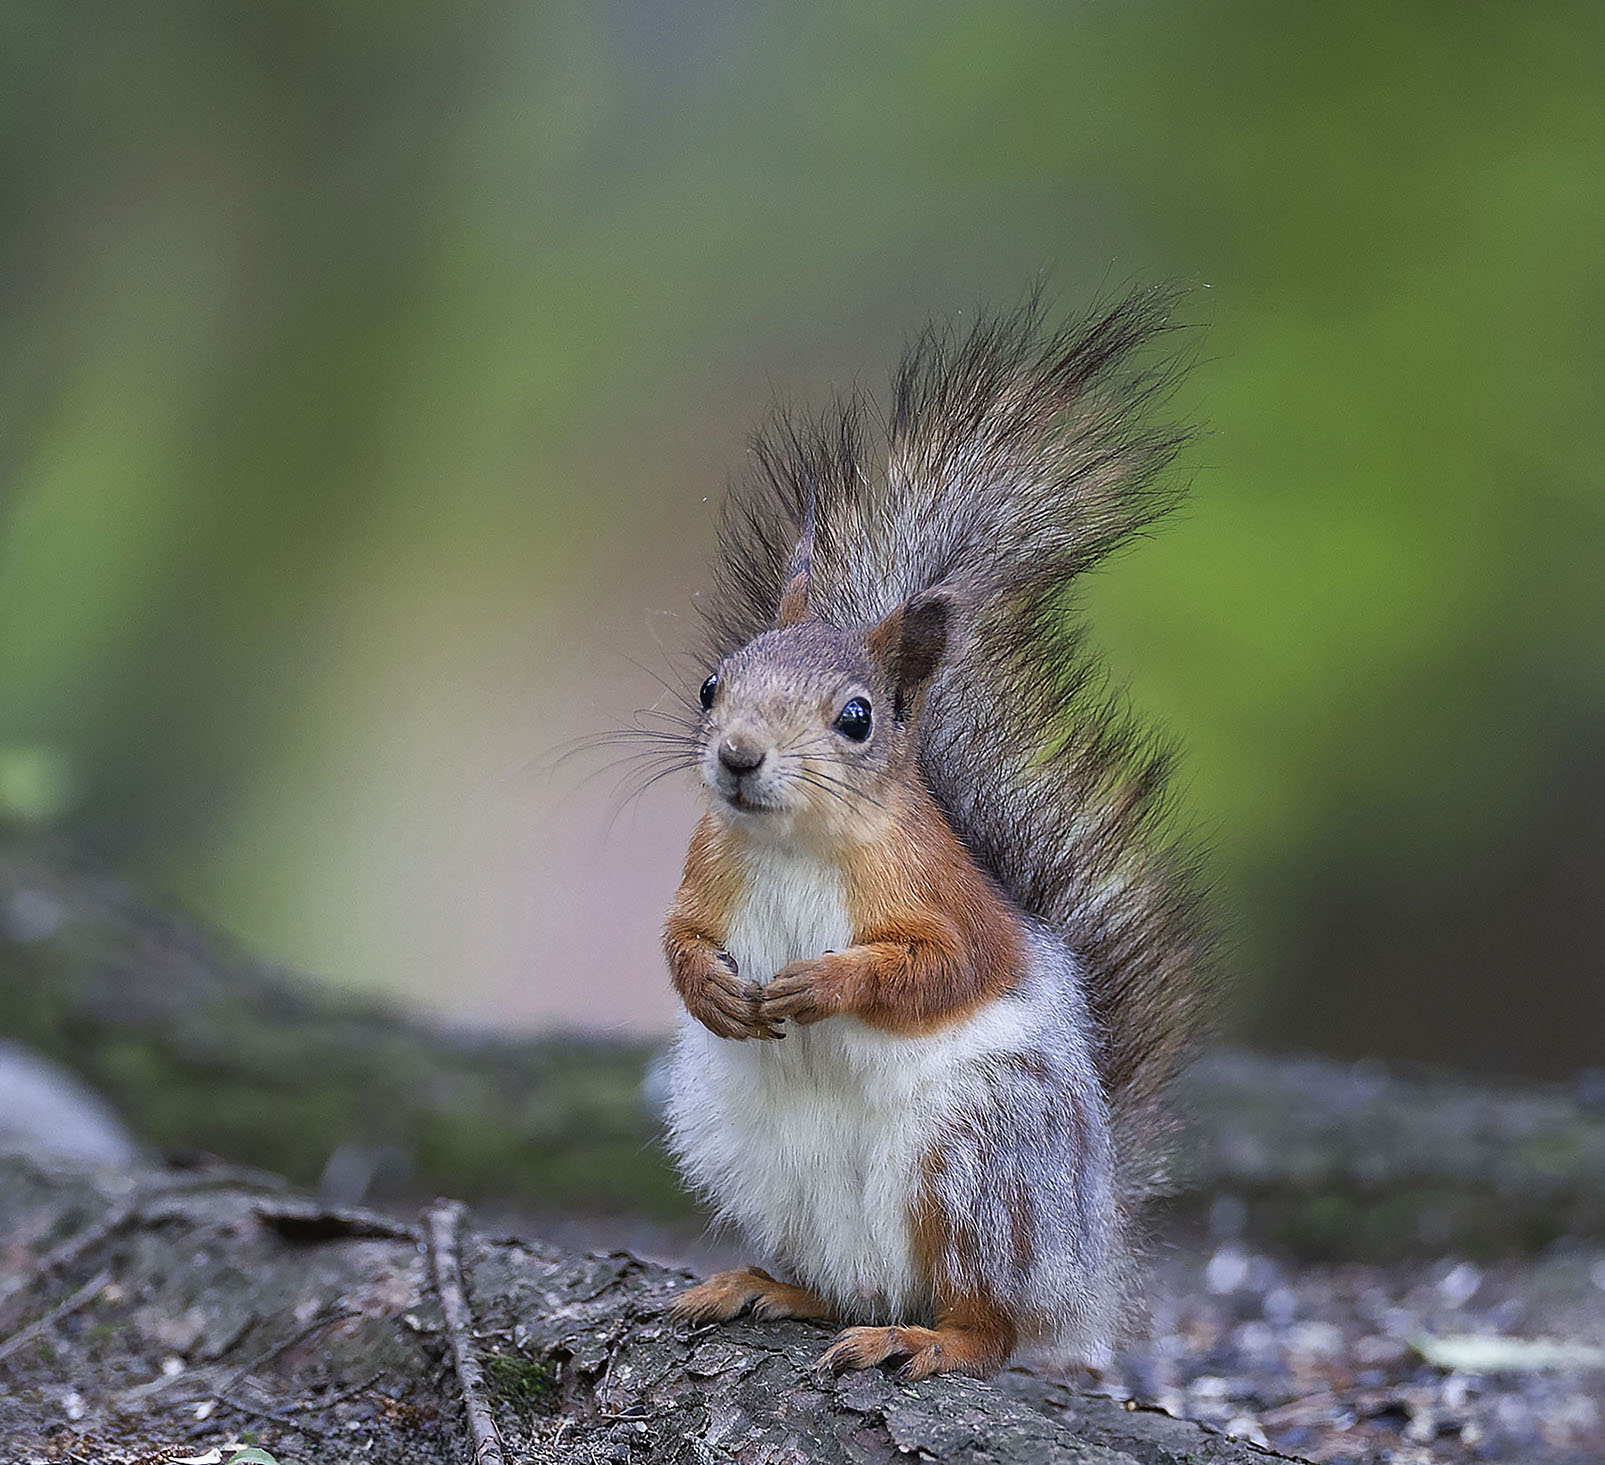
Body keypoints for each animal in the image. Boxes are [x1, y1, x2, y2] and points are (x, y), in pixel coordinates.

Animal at [660, 289, 1213, 1381]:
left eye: (857, 717)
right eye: (712, 683)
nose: (736, 757)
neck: (796, 844)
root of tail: (1087, 1275)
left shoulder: (941, 895)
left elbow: (943, 967)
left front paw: (825, 981)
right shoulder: (707, 869)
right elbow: (677, 938)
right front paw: (712, 988)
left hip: (973, 1164)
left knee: (987, 1321)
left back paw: (924, 1337)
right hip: (766, 1164)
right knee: (843, 1284)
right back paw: (765, 1285)